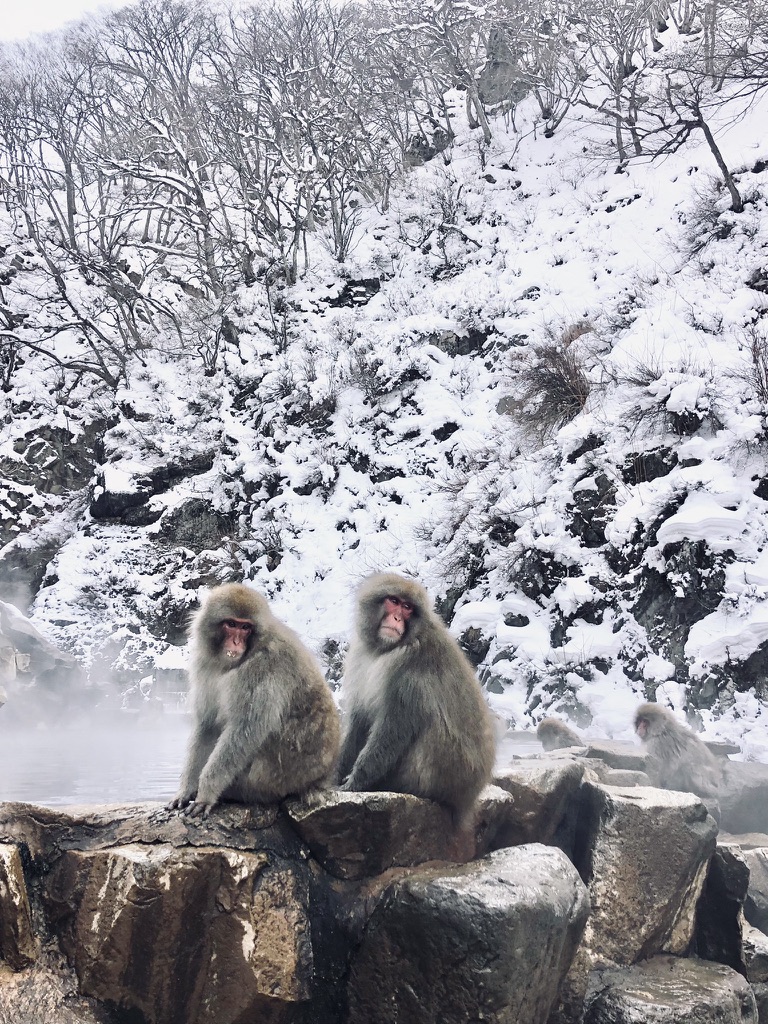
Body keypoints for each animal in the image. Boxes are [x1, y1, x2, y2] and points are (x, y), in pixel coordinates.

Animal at [168, 583, 340, 818]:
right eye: (231, 624)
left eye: (246, 627)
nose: (236, 642)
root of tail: (320, 779)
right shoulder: (205, 664)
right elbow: (207, 725)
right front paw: (187, 789)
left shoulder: (264, 667)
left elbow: (246, 729)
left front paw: (206, 792)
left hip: (274, 779)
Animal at [337, 572, 496, 828]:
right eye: (394, 601)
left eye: (408, 608)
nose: (396, 618)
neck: (386, 649)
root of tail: (467, 799)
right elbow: (359, 721)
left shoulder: (409, 671)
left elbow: (393, 729)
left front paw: (355, 783)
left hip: (442, 773)